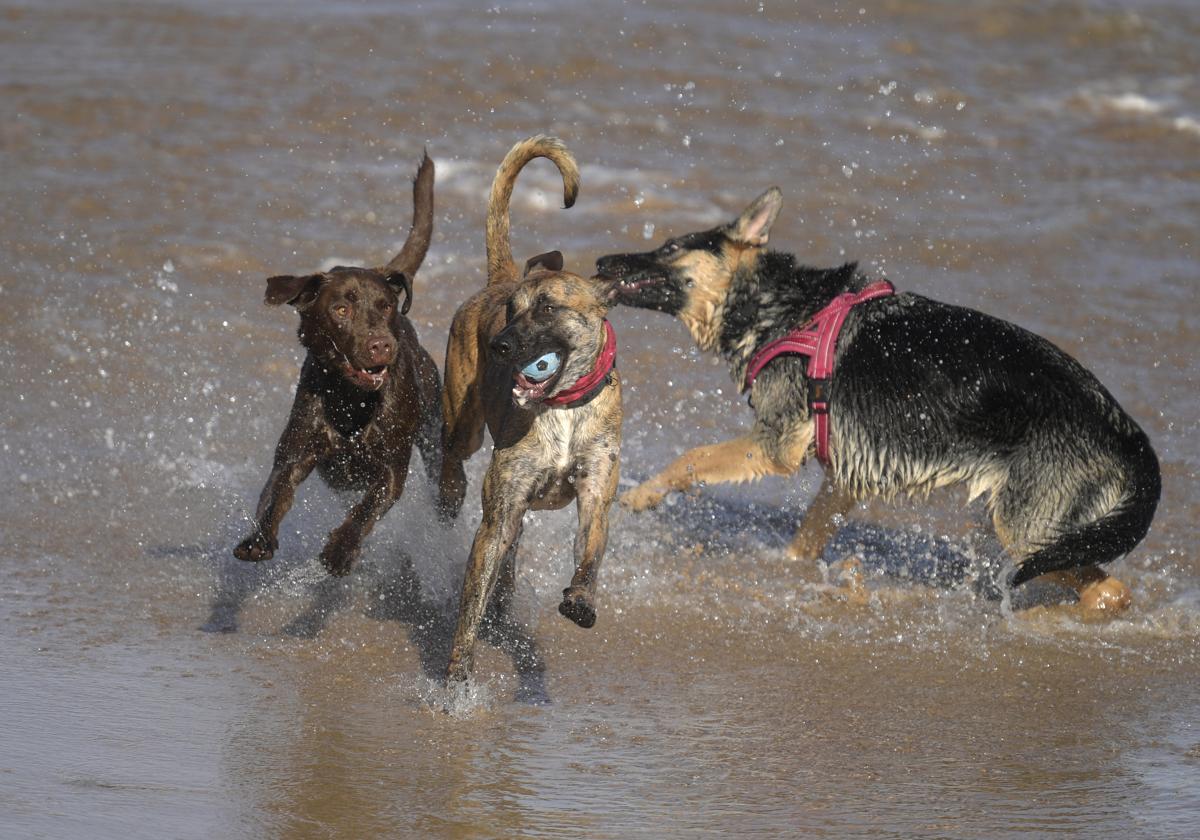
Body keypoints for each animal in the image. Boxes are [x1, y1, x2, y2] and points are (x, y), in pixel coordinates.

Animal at [231, 152, 444, 578]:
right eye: (341, 310)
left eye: (385, 306)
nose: (382, 345)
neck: (351, 400)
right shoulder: (294, 454)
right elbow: (274, 496)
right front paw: (257, 540)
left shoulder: (392, 469)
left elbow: (367, 509)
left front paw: (341, 550)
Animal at [444, 138, 628, 686]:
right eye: (511, 310)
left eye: (547, 308)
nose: (499, 348)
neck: (561, 409)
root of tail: (500, 276)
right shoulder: (498, 514)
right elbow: (471, 603)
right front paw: (457, 680)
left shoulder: (596, 490)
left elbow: (590, 549)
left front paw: (582, 600)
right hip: (464, 421)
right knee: (452, 453)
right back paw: (449, 490)